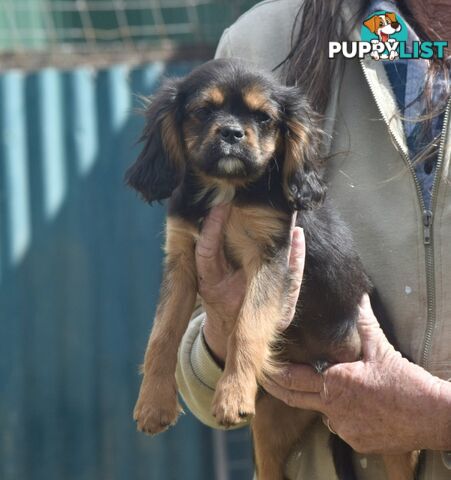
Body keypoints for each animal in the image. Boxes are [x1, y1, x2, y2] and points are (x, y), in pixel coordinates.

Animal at [125, 59, 418, 480]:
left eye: (263, 118)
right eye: (203, 111)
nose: (232, 133)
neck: (227, 189)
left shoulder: (271, 257)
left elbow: (247, 324)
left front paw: (231, 396)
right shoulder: (182, 260)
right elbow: (161, 334)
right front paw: (153, 404)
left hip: (390, 432)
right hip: (270, 422)